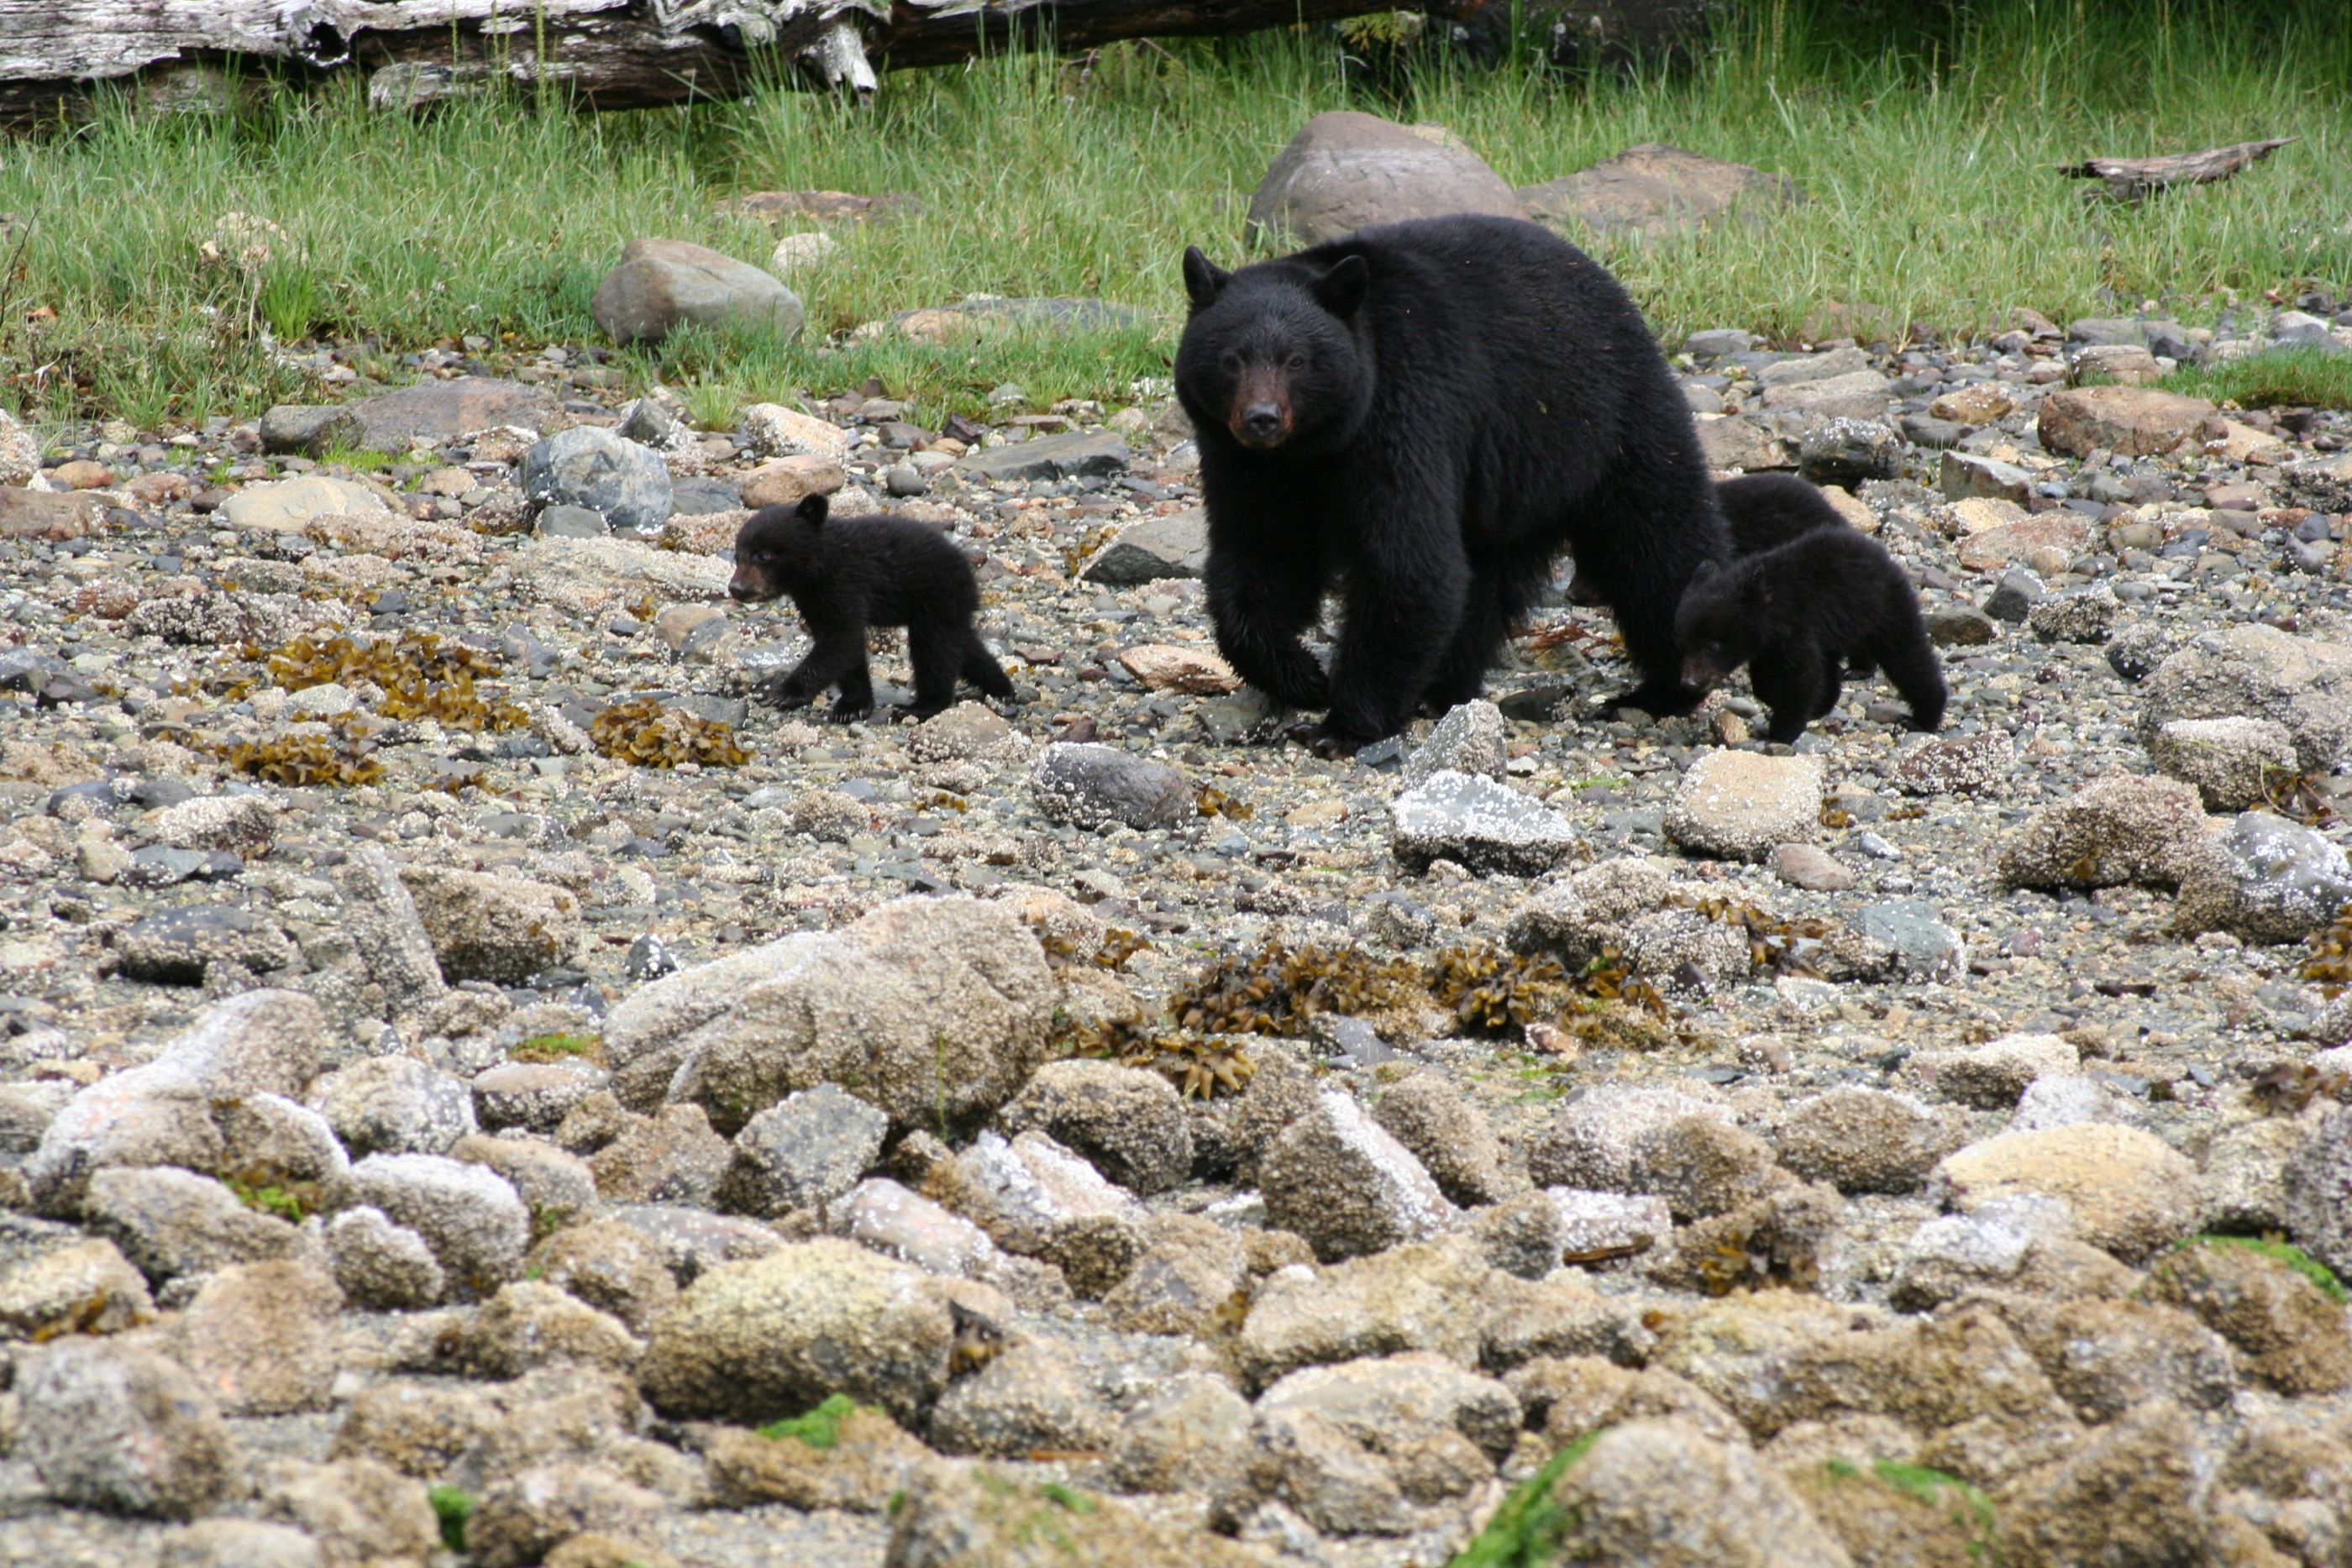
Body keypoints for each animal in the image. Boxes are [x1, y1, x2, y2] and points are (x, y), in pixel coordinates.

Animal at [729, 496, 1016, 724]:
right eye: (737, 556)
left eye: (763, 555)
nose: (736, 588)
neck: (819, 567)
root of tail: (968, 571)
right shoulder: (814, 600)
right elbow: (845, 647)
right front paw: (854, 705)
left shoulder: (844, 584)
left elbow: (842, 640)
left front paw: (786, 692)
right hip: (951, 607)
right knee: (964, 645)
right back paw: (1001, 688)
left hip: (937, 598)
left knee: (934, 650)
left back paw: (922, 707)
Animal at [1176, 212, 1730, 747]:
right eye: (1231, 359)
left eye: (1296, 361)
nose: (1261, 419)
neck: (1311, 450)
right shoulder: (1245, 464)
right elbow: (1260, 555)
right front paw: (1300, 676)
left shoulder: (1406, 410)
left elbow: (1408, 563)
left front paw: (1340, 727)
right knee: (1485, 582)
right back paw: (1443, 688)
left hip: (1608, 423)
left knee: (1659, 550)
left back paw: (1662, 690)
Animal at [1674, 526, 1947, 747]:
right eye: (1684, 644)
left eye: (1713, 645)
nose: (1689, 682)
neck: (1770, 608)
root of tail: (1883, 555)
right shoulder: (1769, 643)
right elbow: (1766, 680)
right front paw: (1783, 700)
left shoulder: (1796, 625)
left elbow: (1802, 675)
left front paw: (1778, 733)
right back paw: (1849, 677)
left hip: (1886, 607)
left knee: (1907, 657)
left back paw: (1923, 718)